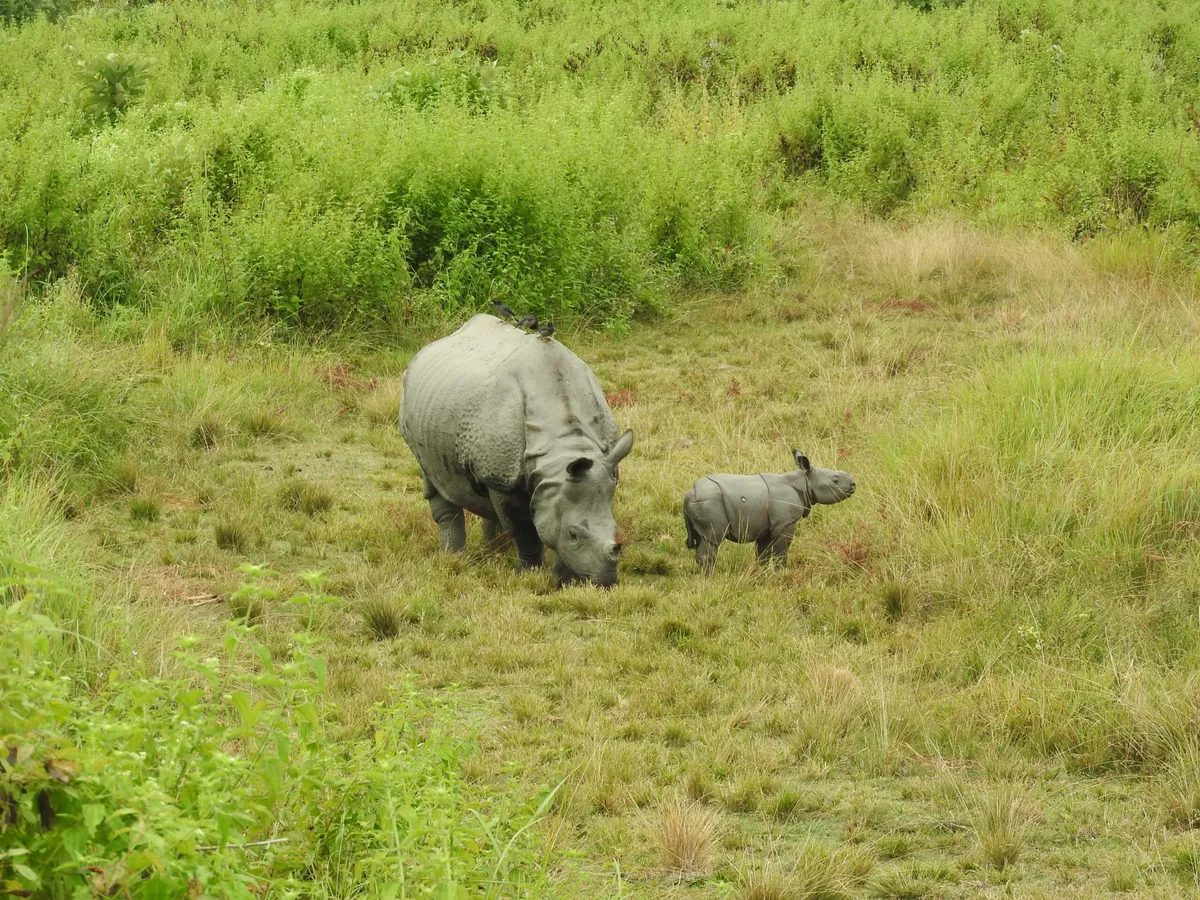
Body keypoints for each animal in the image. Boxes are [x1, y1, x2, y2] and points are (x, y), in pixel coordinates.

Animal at [400, 314, 633, 587]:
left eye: (617, 531)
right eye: (573, 534)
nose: (606, 582)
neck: (562, 447)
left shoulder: (555, 479)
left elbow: (552, 524)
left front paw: (561, 581)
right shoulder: (504, 480)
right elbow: (524, 529)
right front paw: (530, 573)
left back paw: (494, 550)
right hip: (415, 408)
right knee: (435, 479)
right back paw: (453, 557)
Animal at [683, 450, 855, 574]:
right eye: (835, 480)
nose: (853, 483)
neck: (804, 481)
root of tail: (689, 493)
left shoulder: (764, 525)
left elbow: (763, 554)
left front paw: (762, 573)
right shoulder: (784, 522)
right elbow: (781, 551)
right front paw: (781, 573)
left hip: (702, 504)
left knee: (702, 538)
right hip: (709, 503)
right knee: (712, 539)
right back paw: (710, 577)